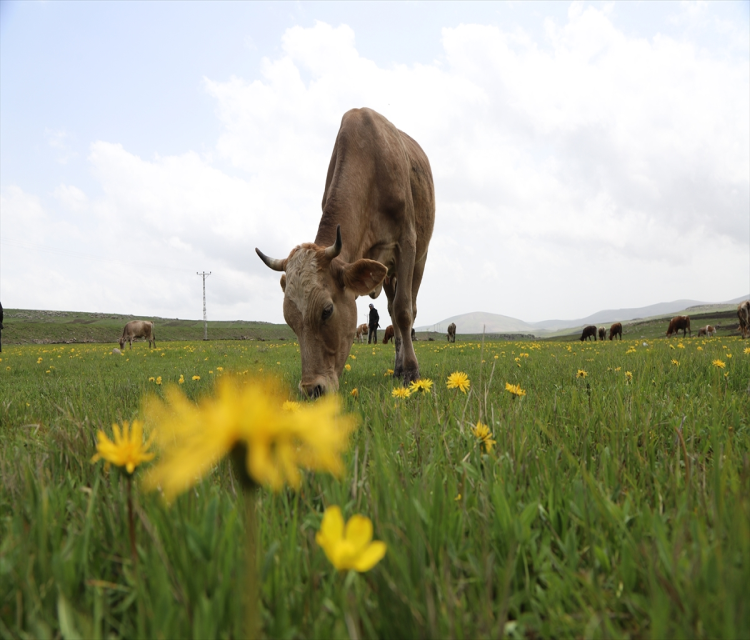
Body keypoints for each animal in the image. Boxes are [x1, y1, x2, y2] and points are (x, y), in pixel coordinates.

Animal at [258, 109, 438, 396]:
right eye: (288, 319)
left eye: (327, 310)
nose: (311, 389)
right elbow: (393, 312)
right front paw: (402, 369)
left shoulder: (406, 243)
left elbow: (404, 310)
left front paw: (412, 372)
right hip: (388, 274)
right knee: (390, 309)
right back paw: (397, 367)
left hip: (420, 258)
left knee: (407, 308)